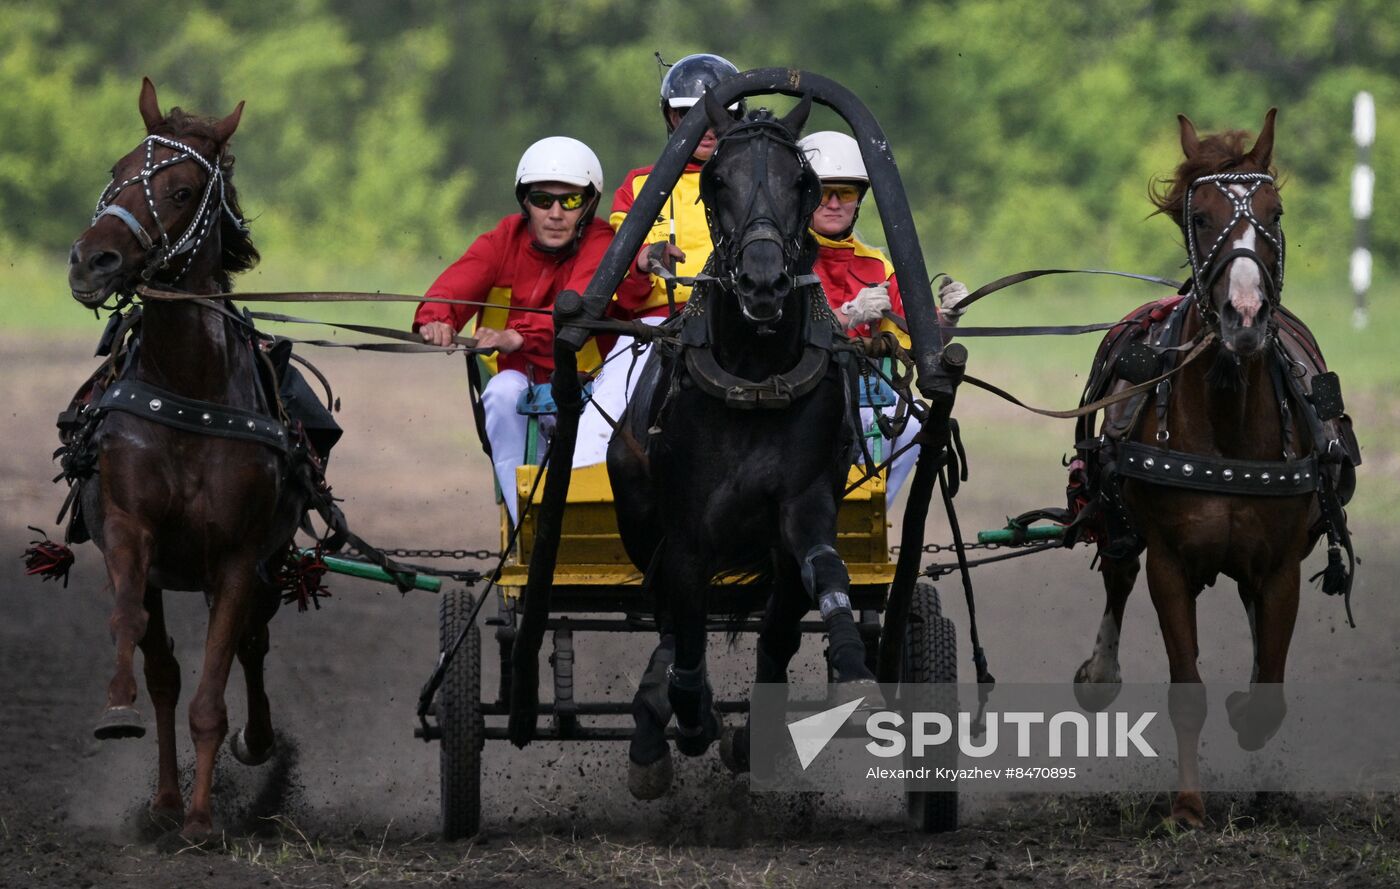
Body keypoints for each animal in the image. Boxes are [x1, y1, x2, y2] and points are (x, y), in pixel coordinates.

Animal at [66, 80, 302, 840]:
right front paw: (120, 710)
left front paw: (202, 819)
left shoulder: (236, 555)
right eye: (115, 171)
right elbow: (142, 642)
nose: (92, 261)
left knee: (251, 646)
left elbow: (214, 685)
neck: (190, 391)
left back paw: (252, 744)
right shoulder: (127, 529)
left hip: (265, 564)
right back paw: (166, 797)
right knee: (169, 668)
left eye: (181, 190)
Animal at [613, 93, 873, 795]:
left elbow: (812, 587)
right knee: (668, 617)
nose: (761, 282)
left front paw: (847, 663)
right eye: (716, 180)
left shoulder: (804, 503)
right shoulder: (687, 529)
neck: (754, 378)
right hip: (639, 513)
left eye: (801, 182)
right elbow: (685, 623)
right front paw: (690, 713)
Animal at [1069, 109, 1355, 828]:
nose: (1246, 315)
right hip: (1117, 513)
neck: (1227, 423)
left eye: (1276, 213)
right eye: (1198, 217)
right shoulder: (1171, 565)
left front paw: (1254, 748)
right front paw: (1188, 807)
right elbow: (1187, 687)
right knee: (1117, 572)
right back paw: (1100, 671)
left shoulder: (1281, 569)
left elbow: (1268, 688)